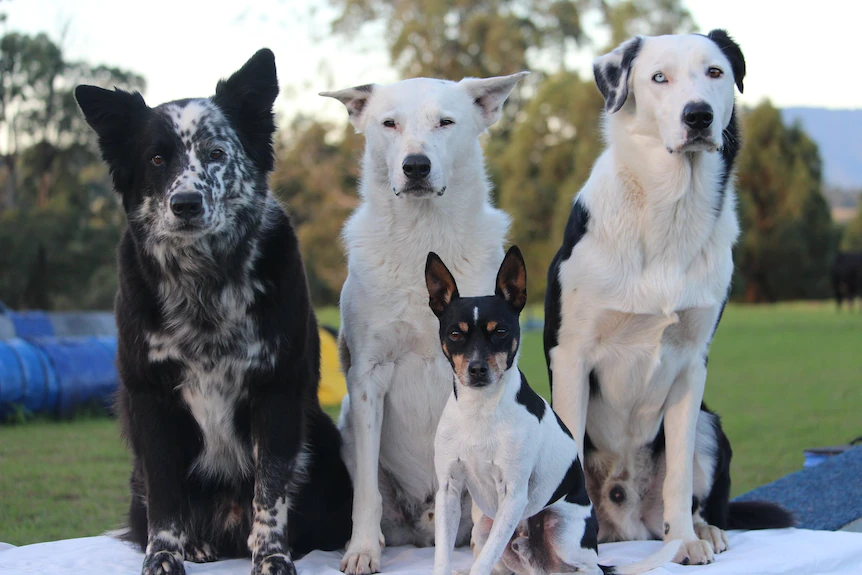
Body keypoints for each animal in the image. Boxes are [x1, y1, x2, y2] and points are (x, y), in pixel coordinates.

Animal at [76, 48, 352, 575]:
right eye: (156, 158)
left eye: (218, 154)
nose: (186, 203)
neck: (205, 283)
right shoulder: (151, 398)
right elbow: (166, 498)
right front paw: (164, 556)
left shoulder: (277, 392)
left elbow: (270, 490)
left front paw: (272, 557)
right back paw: (197, 544)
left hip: (324, 443)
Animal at [322, 72, 528, 575]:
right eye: (389, 123)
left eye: (446, 122)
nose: (416, 166)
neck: (423, 235)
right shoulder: (368, 377)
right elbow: (366, 493)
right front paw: (362, 550)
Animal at [428, 246, 680, 575]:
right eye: (455, 334)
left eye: (501, 331)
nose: (477, 369)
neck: (480, 411)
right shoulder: (448, 491)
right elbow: (445, 557)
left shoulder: (513, 494)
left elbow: (482, 564)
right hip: (484, 526)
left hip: (564, 531)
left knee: (590, 568)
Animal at [548, 31, 796, 568]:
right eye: (658, 77)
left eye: (715, 72)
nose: (698, 116)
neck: (670, 210)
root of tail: (626, 524)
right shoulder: (572, 356)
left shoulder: (691, 363)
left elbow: (680, 478)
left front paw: (682, 542)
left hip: (708, 422)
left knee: (699, 500)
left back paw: (704, 532)